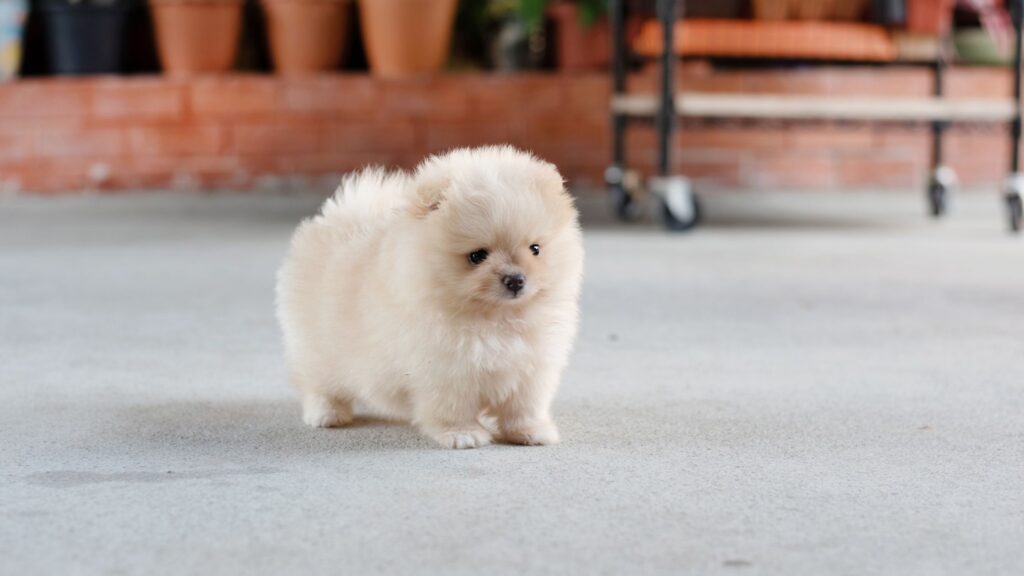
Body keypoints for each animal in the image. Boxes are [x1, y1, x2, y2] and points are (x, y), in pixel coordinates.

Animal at [276, 144, 585, 448]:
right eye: (477, 256)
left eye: (535, 249)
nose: (516, 280)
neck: (495, 319)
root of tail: (343, 219)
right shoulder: (446, 369)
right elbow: (453, 407)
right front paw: (462, 434)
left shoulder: (532, 367)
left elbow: (524, 406)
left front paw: (531, 432)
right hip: (318, 348)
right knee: (317, 383)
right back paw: (326, 413)